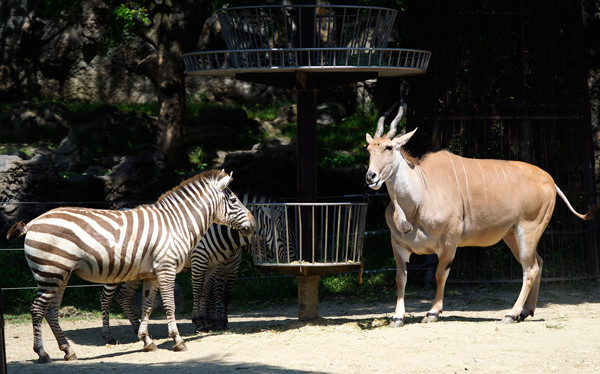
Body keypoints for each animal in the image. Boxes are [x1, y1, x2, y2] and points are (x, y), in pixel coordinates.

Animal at [7, 169, 255, 362]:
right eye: (234, 201)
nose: (252, 225)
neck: (177, 224)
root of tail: (32, 222)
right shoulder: (167, 269)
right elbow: (170, 305)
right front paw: (178, 340)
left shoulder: (152, 274)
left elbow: (147, 306)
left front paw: (147, 341)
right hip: (50, 272)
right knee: (37, 309)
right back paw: (43, 353)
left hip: (61, 274)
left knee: (51, 311)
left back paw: (68, 351)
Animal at [101, 194, 296, 344]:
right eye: (282, 231)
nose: (293, 259)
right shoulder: (200, 260)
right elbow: (199, 291)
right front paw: (200, 322)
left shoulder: (224, 268)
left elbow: (216, 294)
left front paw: (217, 322)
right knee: (106, 297)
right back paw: (108, 336)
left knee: (123, 296)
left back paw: (136, 328)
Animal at [366, 103, 596, 328]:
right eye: (369, 149)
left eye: (388, 147)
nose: (370, 176)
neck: (419, 195)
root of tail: (550, 180)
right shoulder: (399, 246)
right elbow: (400, 278)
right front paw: (397, 317)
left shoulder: (449, 243)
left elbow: (440, 274)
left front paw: (433, 312)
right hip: (512, 236)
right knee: (537, 263)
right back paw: (525, 311)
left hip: (528, 231)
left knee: (530, 269)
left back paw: (511, 314)